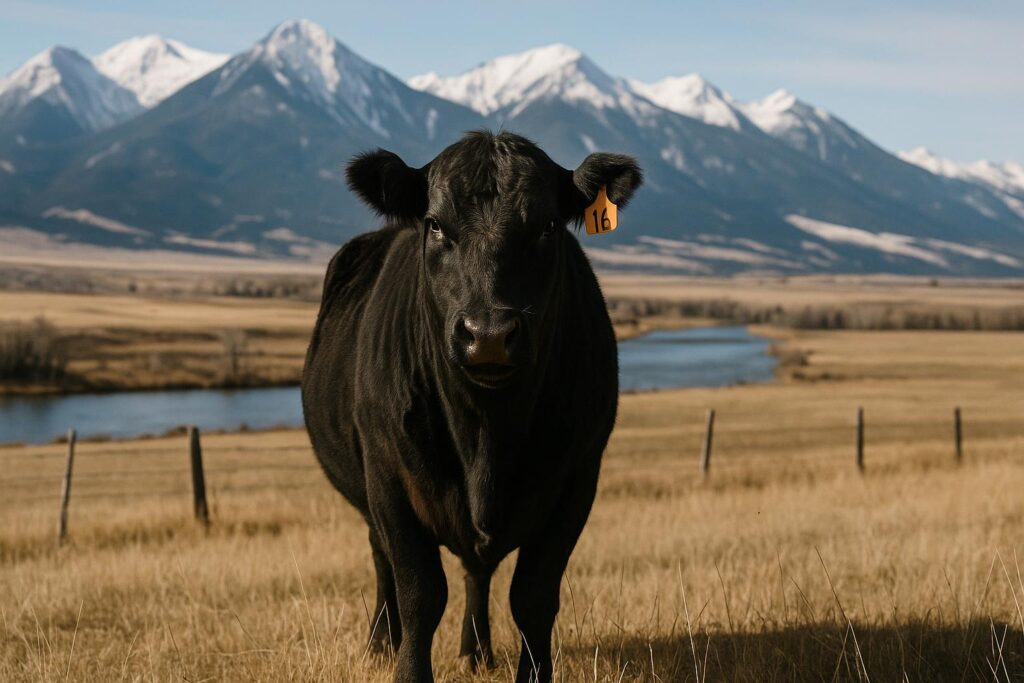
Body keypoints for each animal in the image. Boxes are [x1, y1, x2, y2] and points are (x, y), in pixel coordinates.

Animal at [302, 130, 642, 683]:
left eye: (548, 225)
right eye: (436, 224)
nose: (488, 335)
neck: (485, 432)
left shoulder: (577, 478)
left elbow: (533, 597)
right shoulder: (388, 475)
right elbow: (419, 594)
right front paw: (406, 669)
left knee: (477, 571)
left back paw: (476, 652)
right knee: (382, 562)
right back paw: (380, 645)